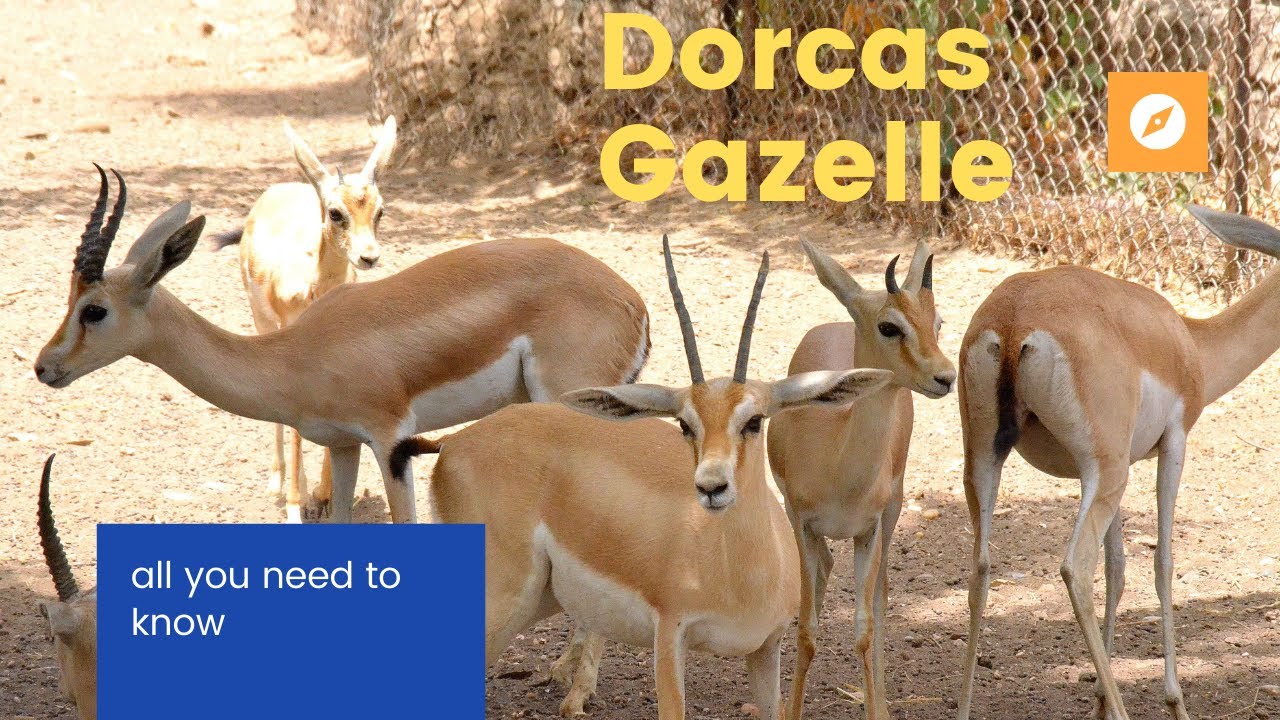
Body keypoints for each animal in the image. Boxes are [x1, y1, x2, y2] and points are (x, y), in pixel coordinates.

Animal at [34, 166, 651, 530]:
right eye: (69, 299)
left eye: (95, 309)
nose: (44, 367)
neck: (294, 355)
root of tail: (630, 300)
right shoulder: (344, 445)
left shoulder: (392, 440)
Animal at [211, 117, 397, 522]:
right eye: (336, 212)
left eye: (379, 210)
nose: (368, 257)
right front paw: (297, 506)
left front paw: (326, 494)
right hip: (262, 322)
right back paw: (278, 481)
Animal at [411, 240, 893, 719]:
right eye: (685, 423)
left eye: (754, 420)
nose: (711, 487)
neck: (739, 575)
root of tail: (454, 443)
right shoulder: (669, 636)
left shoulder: (766, 647)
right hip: (501, 603)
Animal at [767, 240, 956, 720]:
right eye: (889, 326)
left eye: (938, 322)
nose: (945, 377)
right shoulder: (800, 522)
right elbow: (808, 628)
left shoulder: (868, 530)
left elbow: (865, 627)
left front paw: (876, 708)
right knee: (822, 575)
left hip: (892, 516)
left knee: (881, 598)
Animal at [956, 205, 1280, 720]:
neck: (1191, 345)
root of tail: (1015, 319)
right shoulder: (1173, 445)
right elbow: (1163, 564)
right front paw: (1173, 702)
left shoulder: (1113, 467)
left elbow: (1119, 570)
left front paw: (1099, 703)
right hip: (1106, 473)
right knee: (1075, 566)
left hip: (989, 459)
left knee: (981, 568)